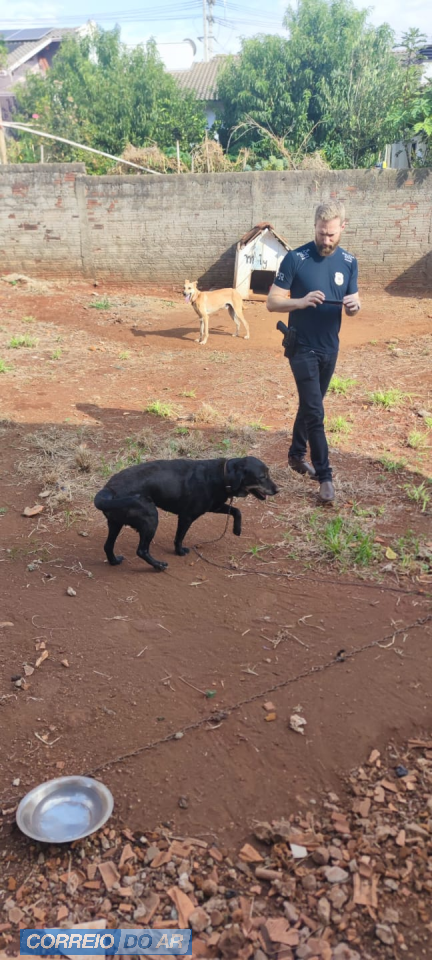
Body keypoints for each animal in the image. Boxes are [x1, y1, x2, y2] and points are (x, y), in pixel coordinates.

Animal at [94, 456, 278, 570]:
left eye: (268, 473)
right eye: (262, 476)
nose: (278, 490)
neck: (223, 475)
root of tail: (108, 490)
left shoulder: (214, 506)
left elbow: (237, 510)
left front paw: (236, 529)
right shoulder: (187, 516)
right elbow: (179, 538)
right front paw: (179, 552)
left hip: (116, 523)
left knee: (108, 546)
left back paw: (114, 561)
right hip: (151, 518)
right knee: (142, 550)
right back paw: (158, 565)